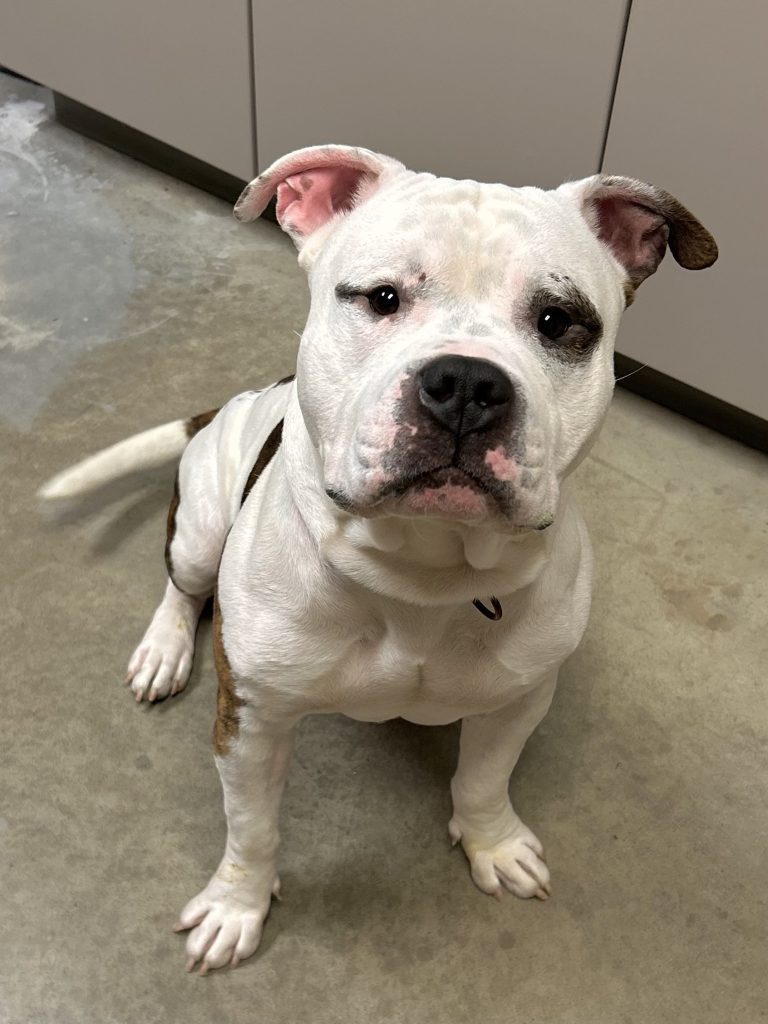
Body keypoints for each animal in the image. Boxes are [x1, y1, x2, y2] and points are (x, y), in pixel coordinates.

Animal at [41, 145, 717, 974]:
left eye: (558, 321)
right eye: (383, 298)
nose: (467, 383)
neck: (426, 573)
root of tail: (231, 403)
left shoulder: (520, 701)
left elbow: (484, 781)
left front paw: (492, 845)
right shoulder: (253, 720)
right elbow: (252, 827)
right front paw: (237, 906)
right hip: (200, 524)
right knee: (182, 585)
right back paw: (164, 650)